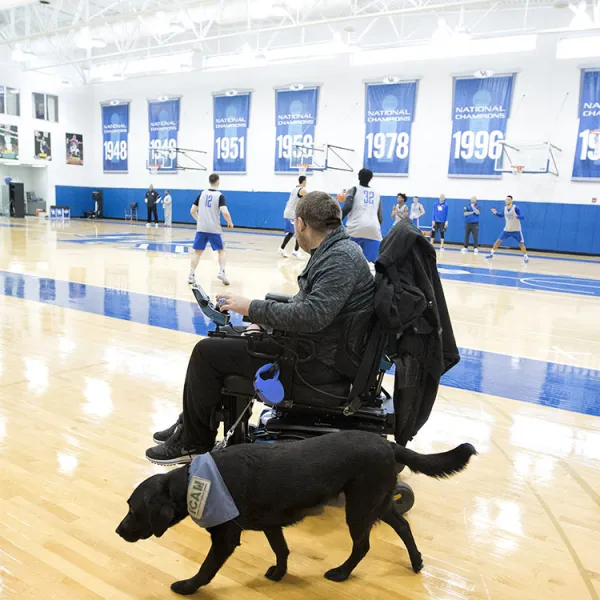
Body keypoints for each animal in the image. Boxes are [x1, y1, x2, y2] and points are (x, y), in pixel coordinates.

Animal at [116, 432, 474, 596]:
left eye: (134, 510)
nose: (119, 532)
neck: (193, 481)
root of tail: (387, 443)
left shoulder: (226, 536)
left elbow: (207, 569)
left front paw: (189, 587)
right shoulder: (272, 524)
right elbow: (282, 549)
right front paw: (279, 573)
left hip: (360, 507)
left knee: (363, 545)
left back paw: (341, 573)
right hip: (378, 500)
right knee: (402, 525)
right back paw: (416, 561)